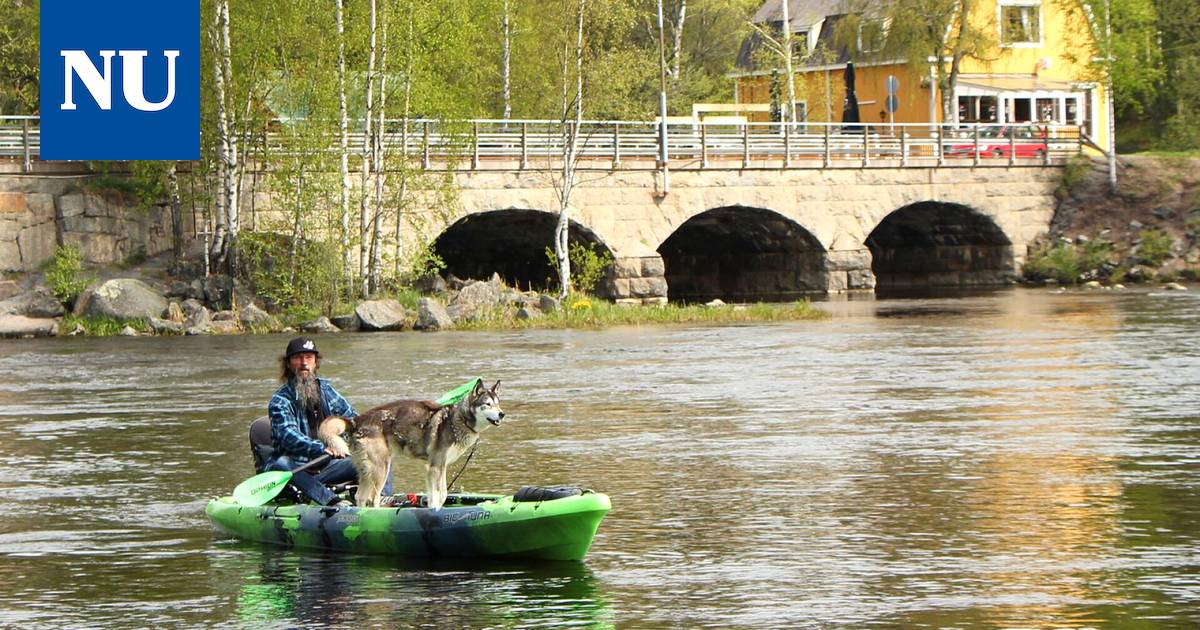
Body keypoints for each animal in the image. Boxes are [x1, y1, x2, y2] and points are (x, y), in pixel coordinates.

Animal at [319, 379, 501, 506]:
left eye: (498, 404)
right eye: (487, 404)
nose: (502, 414)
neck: (459, 419)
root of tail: (355, 421)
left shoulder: (441, 467)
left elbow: (441, 495)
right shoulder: (434, 466)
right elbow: (436, 497)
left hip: (367, 471)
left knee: (360, 497)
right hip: (381, 468)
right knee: (373, 498)